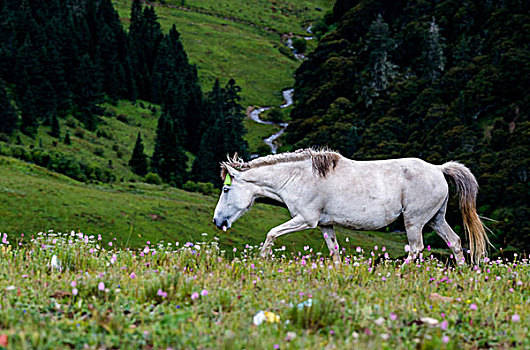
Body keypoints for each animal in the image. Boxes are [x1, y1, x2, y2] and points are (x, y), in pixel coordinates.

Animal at [210, 149, 486, 264]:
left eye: (225, 190)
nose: (217, 221)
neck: (299, 177)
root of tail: (439, 169)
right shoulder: (325, 225)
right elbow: (334, 252)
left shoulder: (305, 219)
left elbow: (271, 234)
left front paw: (261, 261)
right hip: (435, 219)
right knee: (455, 242)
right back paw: (463, 272)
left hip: (415, 221)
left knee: (416, 248)